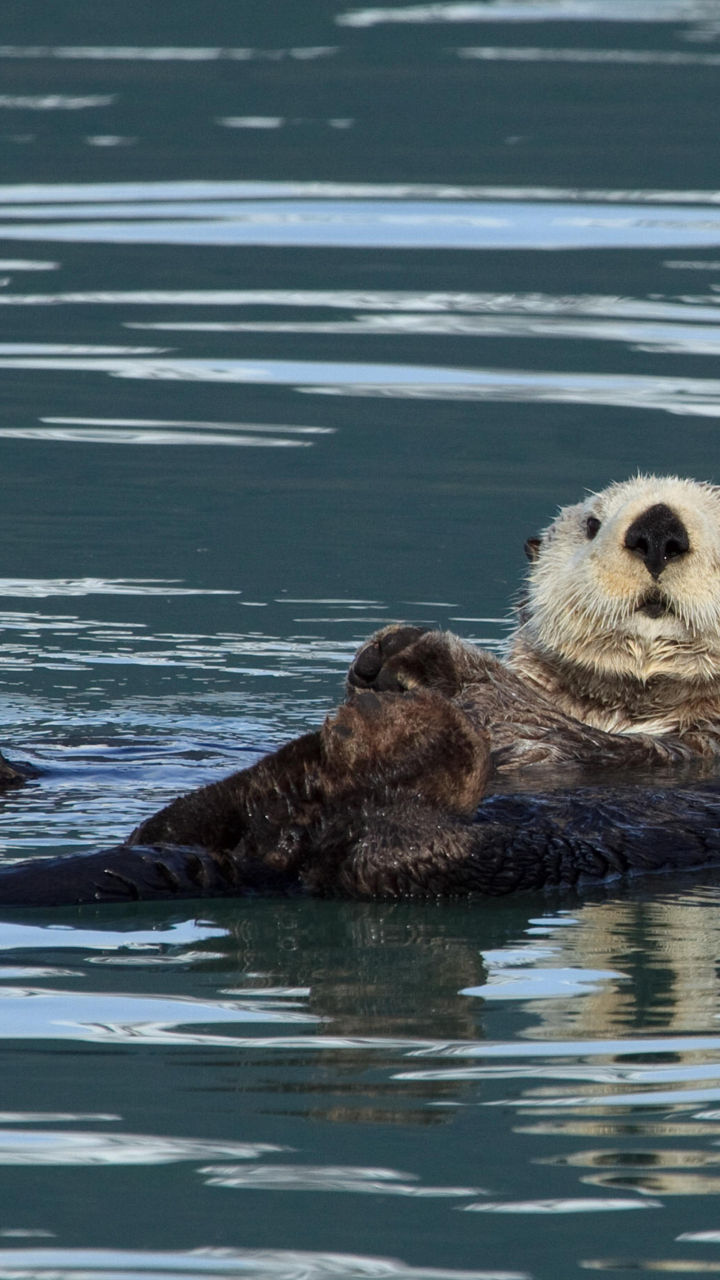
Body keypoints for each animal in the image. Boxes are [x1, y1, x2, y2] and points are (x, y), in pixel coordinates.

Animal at [1, 474, 720, 905]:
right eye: (593, 524)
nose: (657, 530)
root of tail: (266, 861)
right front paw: (385, 657)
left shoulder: (679, 746)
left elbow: (577, 737)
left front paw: (424, 655)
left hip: (494, 857)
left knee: (380, 850)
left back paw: (401, 740)